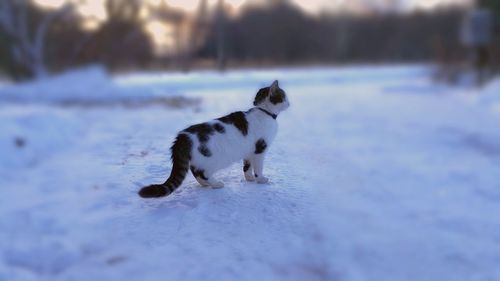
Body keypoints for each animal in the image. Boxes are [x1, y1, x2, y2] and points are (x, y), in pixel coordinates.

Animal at [139, 79, 292, 197]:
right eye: (284, 97)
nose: (289, 103)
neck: (264, 112)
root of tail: (183, 136)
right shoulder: (260, 149)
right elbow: (258, 168)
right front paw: (260, 179)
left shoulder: (248, 151)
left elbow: (247, 167)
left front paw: (249, 179)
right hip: (211, 159)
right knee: (202, 173)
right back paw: (216, 184)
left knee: (196, 172)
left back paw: (206, 184)